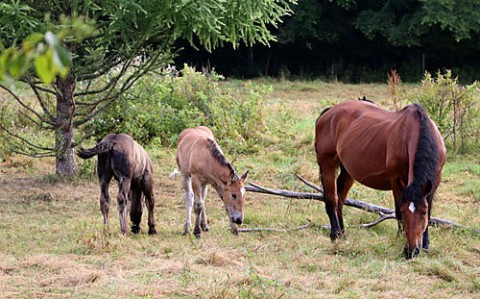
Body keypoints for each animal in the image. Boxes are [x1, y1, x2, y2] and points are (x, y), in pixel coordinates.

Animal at [316, 99, 446, 258]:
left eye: (423, 213)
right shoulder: (396, 180)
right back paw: (336, 235)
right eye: (404, 213)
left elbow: (430, 210)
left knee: (340, 198)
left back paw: (343, 233)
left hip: (347, 171)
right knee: (331, 198)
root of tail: (329, 112)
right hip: (327, 163)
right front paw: (400, 238)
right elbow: (397, 210)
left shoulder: (434, 183)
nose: (411, 251)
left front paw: (426, 245)